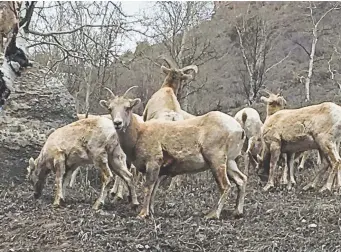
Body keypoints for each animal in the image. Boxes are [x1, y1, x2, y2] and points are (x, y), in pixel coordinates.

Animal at [99, 85, 246, 220]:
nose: (118, 123)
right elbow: (154, 189)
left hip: (216, 160)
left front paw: (142, 214)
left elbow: (148, 187)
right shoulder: (159, 170)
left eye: (127, 107)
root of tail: (239, 129)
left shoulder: (152, 163)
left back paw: (212, 214)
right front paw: (151, 212)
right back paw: (237, 212)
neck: (139, 134)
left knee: (225, 185)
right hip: (230, 161)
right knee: (241, 180)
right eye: (110, 108)